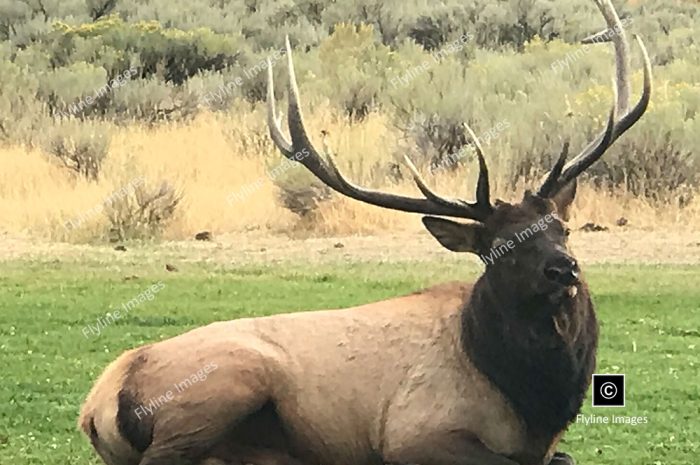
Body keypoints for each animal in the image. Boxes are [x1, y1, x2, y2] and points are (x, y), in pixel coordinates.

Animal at [79, 3, 652, 464]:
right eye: (497, 247)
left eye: (562, 227)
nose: (563, 269)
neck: (534, 404)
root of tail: (99, 403)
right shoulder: (412, 434)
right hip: (224, 383)